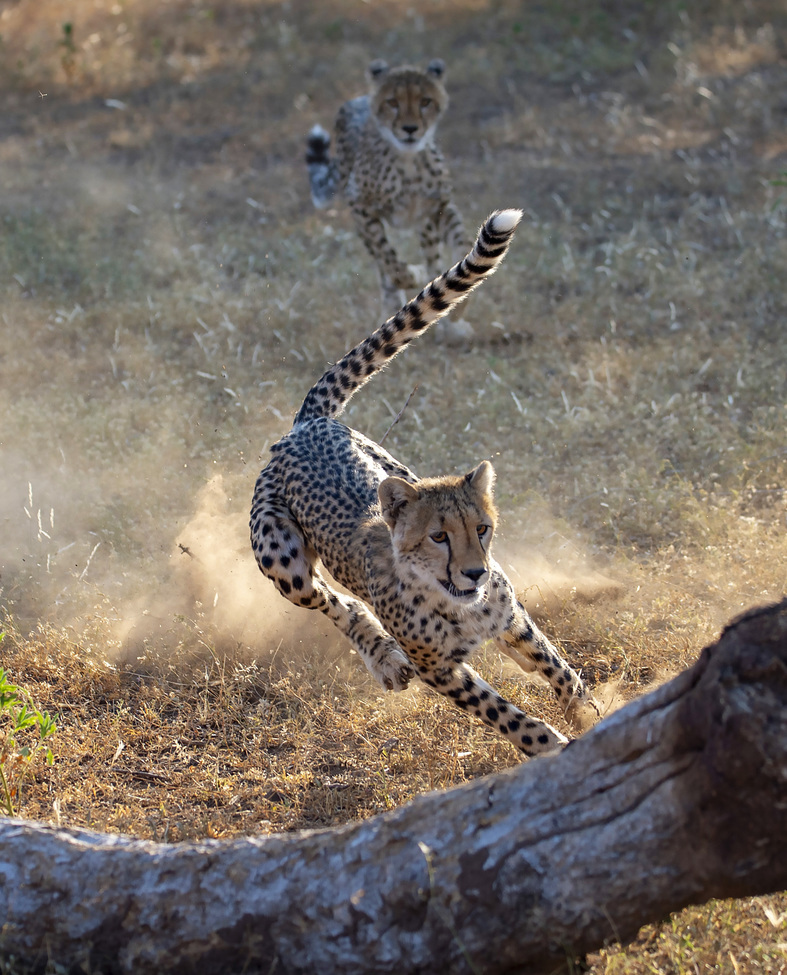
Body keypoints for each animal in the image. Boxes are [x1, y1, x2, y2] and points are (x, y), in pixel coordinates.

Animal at [250, 209, 597, 757]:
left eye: (482, 529)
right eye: (438, 537)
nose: (475, 572)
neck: (453, 601)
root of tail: (308, 426)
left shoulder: (513, 620)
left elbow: (557, 666)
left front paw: (589, 712)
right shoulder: (442, 670)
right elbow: (506, 715)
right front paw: (551, 746)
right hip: (278, 554)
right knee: (333, 600)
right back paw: (385, 658)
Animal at [306, 58, 470, 326]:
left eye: (425, 101)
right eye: (392, 102)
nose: (410, 128)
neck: (408, 161)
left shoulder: (438, 208)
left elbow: (462, 242)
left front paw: (458, 305)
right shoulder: (361, 207)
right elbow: (389, 260)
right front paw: (413, 275)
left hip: (424, 226)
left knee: (432, 255)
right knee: (383, 264)